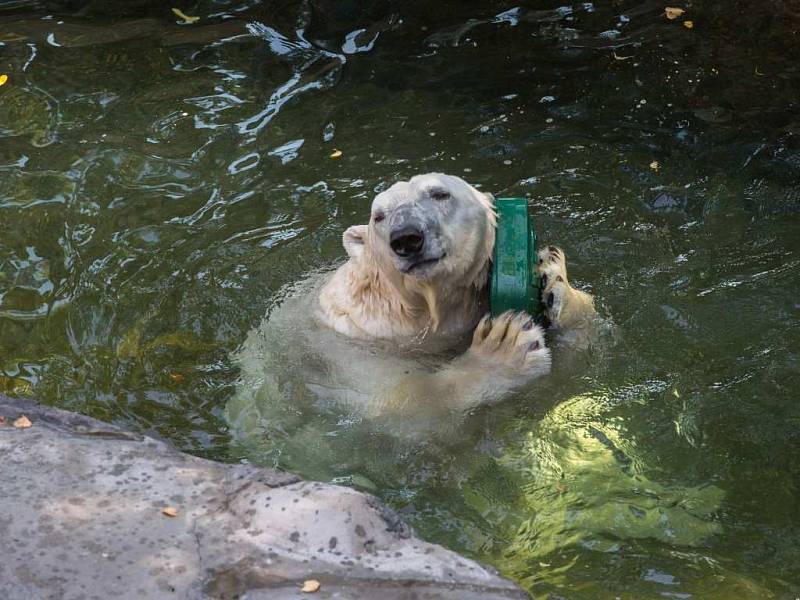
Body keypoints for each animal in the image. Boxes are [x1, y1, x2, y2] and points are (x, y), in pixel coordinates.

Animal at [225, 173, 592, 436]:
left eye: (440, 194)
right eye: (379, 216)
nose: (406, 238)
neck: (424, 313)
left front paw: (553, 279)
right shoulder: (348, 341)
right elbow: (399, 404)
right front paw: (505, 347)